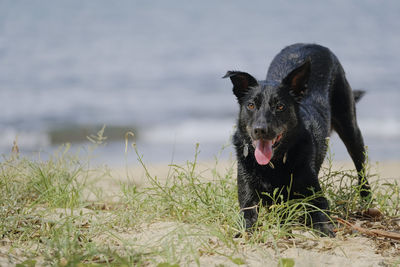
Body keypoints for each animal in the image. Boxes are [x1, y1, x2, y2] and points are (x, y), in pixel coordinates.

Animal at [223, 43, 370, 237]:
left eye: (280, 106)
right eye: (251, 105)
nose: (260, 130)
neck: (274, 165)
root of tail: (311, 44)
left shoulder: (315, 195)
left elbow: (320, 213)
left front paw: (325, 229)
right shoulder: (247, 196)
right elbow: (247, 219)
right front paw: (243, 232)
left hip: (350, 127)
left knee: (360, 166)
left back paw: (367, 199)